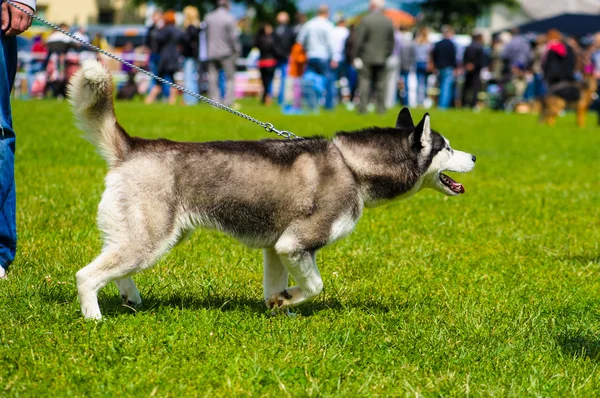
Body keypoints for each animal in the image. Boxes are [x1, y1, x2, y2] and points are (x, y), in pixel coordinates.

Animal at [68, 60, 476, 318]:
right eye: (447, 147)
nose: (473, 156)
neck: (352, 165)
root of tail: (133, 146)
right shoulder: (295, 244)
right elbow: (315, 285)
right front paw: (290, 299)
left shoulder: (276, 248)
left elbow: (274, 288)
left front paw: (279, 307)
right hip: (150, 239)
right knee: (86, 275)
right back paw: (94, 319)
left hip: (151, 237)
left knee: (115, 269)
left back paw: (131, 297)